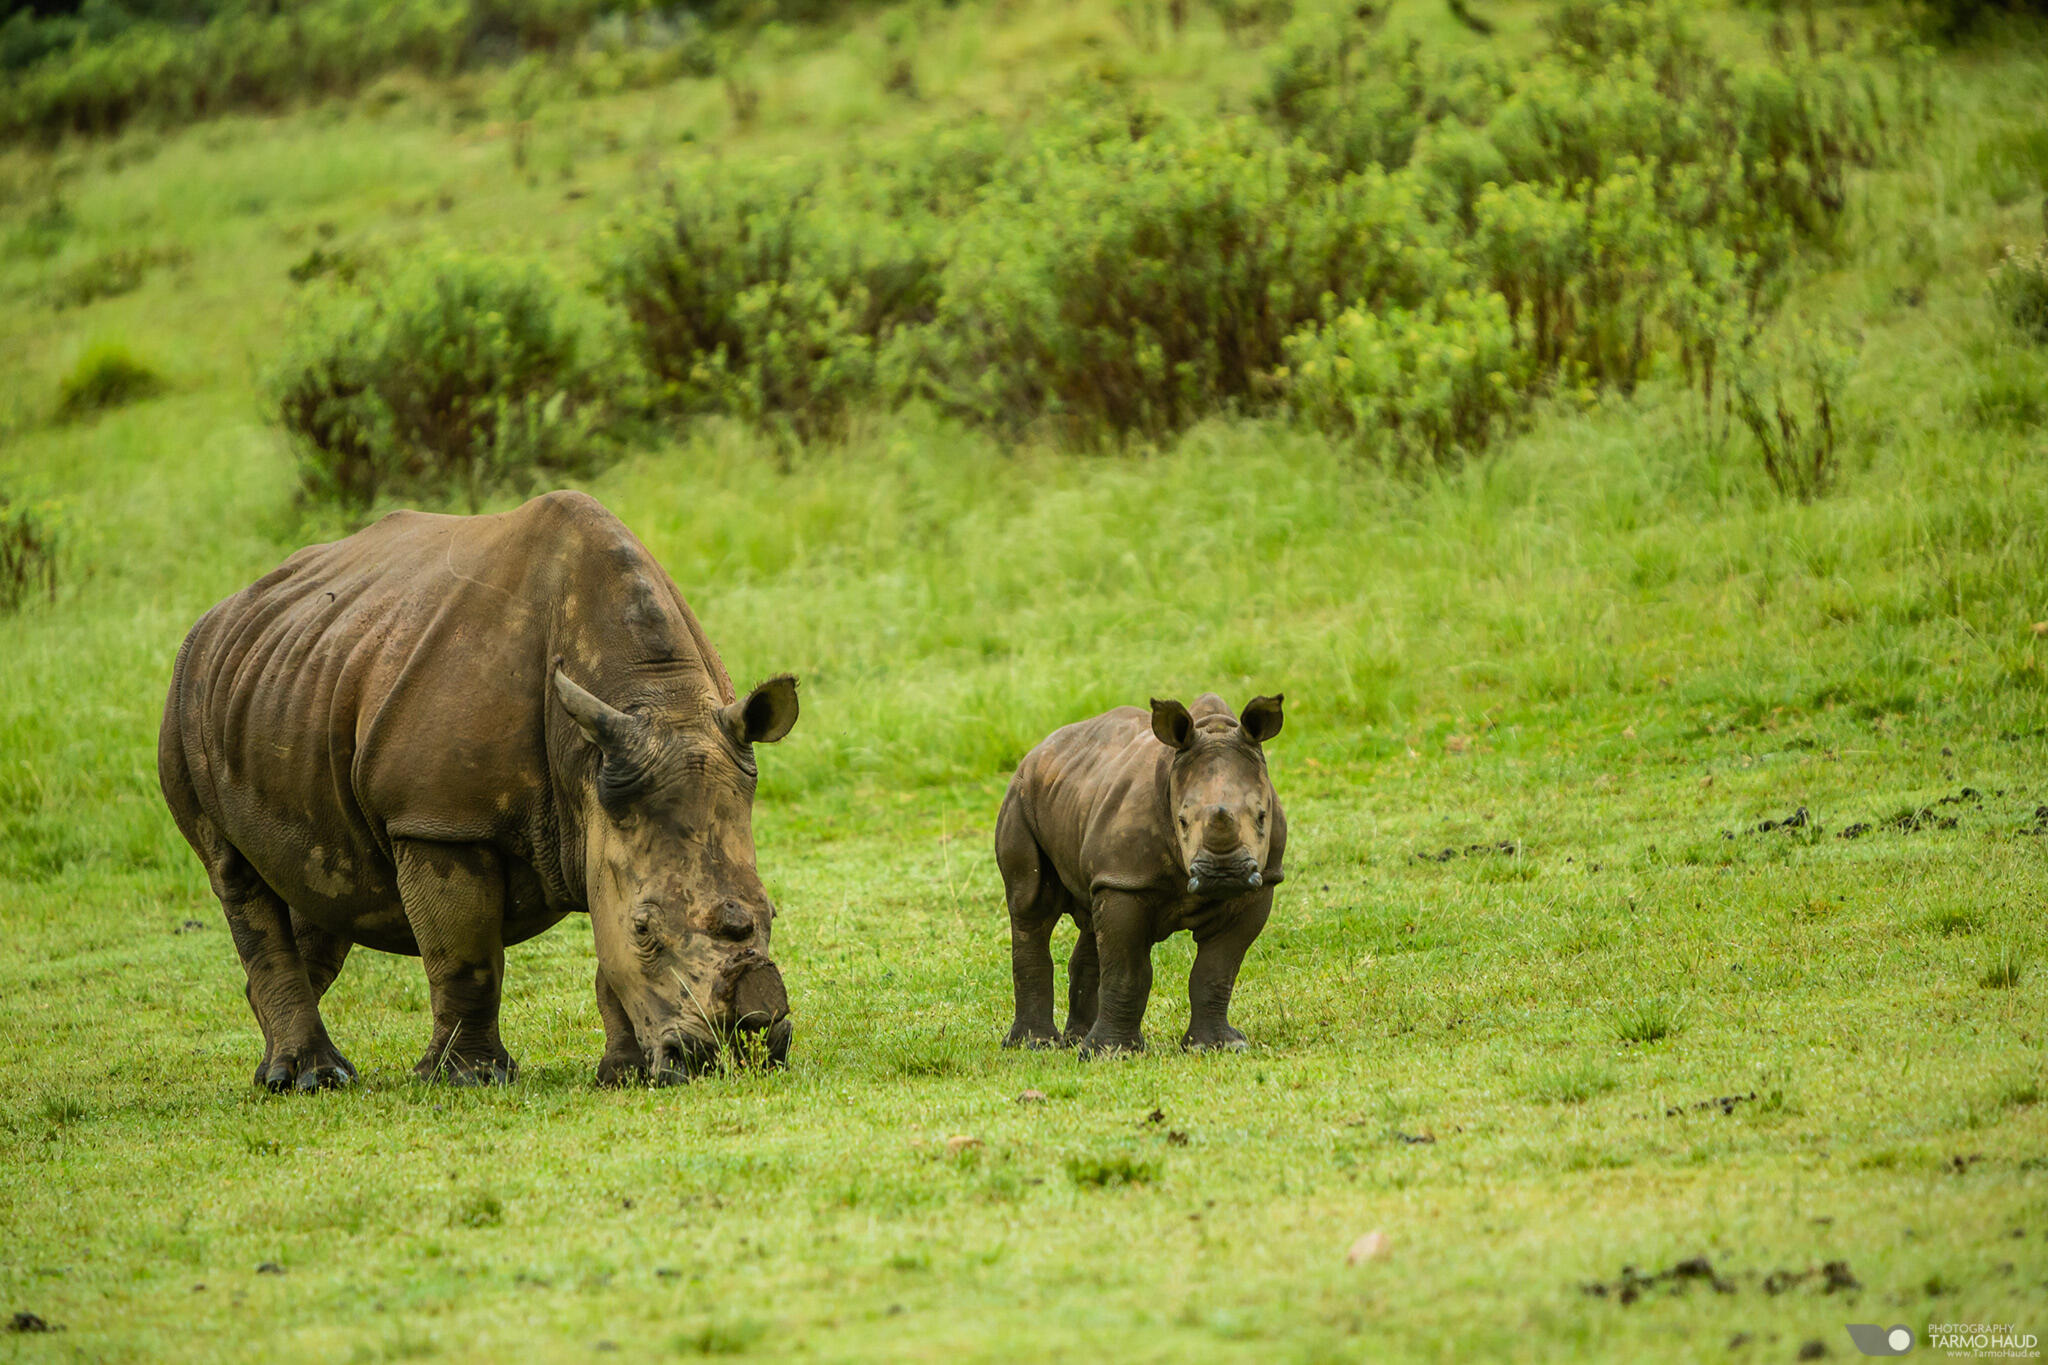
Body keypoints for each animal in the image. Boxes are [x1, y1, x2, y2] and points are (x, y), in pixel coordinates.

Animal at [158, 490, 799, 1089]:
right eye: (645, 929)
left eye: (771, 909)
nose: (748, 1044)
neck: (653, 699)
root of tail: (218, 613)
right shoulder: (438, 818)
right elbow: (467, 958)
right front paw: (470, 1078)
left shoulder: (606, 804)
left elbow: (605, 946)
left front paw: (626, 1073)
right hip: (183, 702)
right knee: (233, 871)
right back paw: (309, 1079)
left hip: (295, 673)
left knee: (320, 883)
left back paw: (293, 1070)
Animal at [995, 694, 1286, 1056]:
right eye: (1182, 820)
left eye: (1262, 816)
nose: (1224, 875)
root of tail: (1039, 748)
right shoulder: (1126, 881)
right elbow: (1127, 970)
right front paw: (1109, 1055)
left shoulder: (1262, 882)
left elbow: (1216, 970)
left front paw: (1218, 1046)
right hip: (1020, 796)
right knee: (1032, 907)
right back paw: (1035, 1045)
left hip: (1083, 803)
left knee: (1091, 914)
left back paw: (1077, 1039)